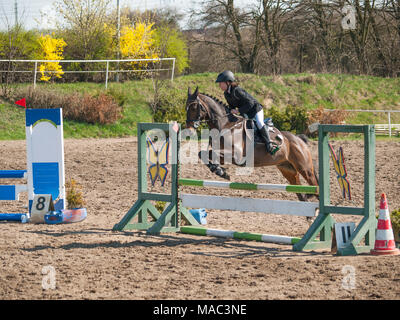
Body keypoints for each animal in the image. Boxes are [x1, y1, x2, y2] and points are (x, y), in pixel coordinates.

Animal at [184, 86, 318, 201]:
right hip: (288, 169)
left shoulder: (237, 156)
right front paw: (219, 171)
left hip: (305, 168)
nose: (189, 130)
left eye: (194, 107)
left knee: (315, 187)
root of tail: (299, 140)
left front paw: (220, 171)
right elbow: (203, 154)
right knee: (301, 193)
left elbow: (211, 154)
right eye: (186, 107)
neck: (225, 125)